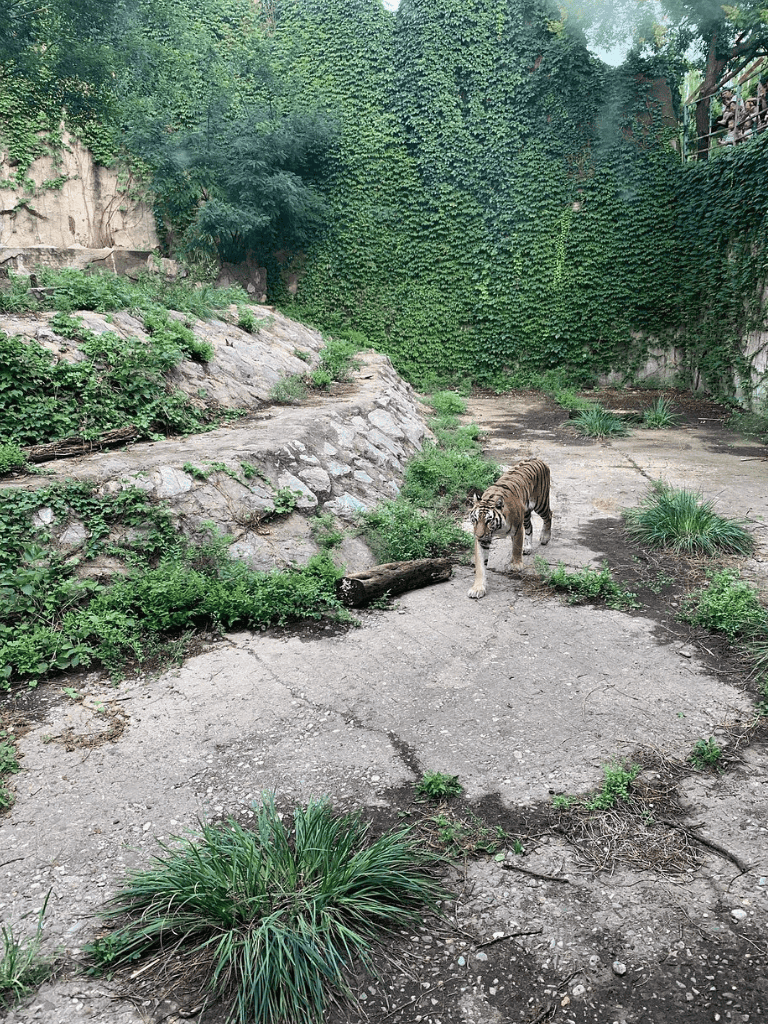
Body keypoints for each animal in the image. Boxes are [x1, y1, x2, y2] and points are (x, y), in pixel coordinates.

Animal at [467, 457, 552, 599]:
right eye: (475, 520)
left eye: (488, 521)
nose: (478, 536)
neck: (497, 528)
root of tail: (537, 459)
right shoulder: (483, 540)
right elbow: (480, 565)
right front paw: (478, 588)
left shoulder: (517, 528)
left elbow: (516, 547)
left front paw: (516, 565)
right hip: (526, 512)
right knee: (530, 527)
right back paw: (528, 548)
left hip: (540, 503)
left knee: (549, 515)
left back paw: (545, 537)